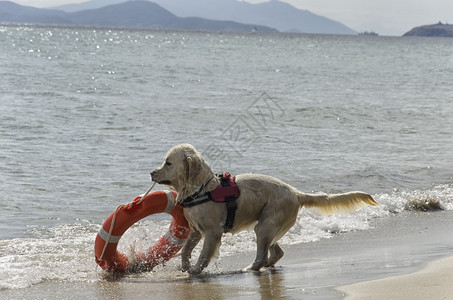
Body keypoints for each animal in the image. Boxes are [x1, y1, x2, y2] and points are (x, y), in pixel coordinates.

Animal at [150, 143, 376, 274]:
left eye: (168, 163)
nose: (151, 172)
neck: (202, 189)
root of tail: (296, 193)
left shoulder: (213, 232)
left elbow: (204, 254)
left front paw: (196, 270)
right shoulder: (196, 230)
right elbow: (185, 249)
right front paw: (185, 266)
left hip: (265, 225)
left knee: (262, 256)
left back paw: (250, 267)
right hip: (268, 227)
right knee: (276, 253)